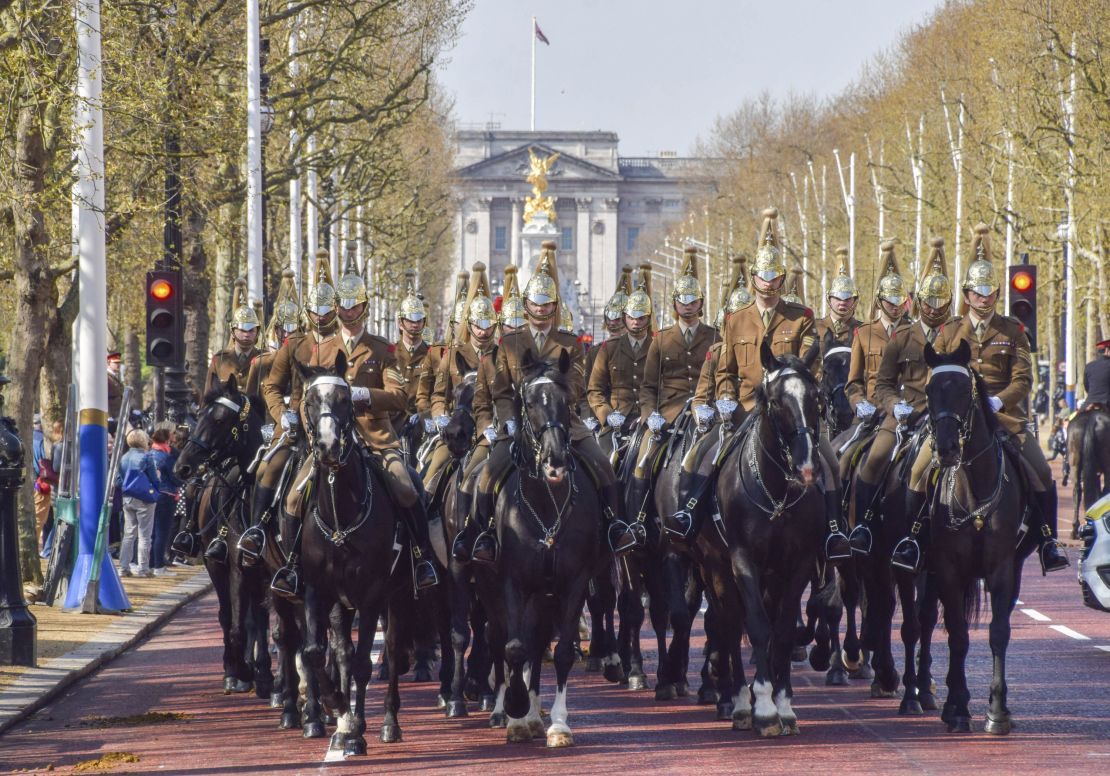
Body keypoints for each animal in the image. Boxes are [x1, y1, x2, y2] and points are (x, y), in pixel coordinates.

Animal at [177, 377, 275, 697]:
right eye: (197, 416)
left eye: (219, 420)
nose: (181, 466)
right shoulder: (236, 568)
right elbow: (235, 625)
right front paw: (241, 671)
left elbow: (258, 621)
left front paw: (264, 675)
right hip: (216, 566)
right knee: (227, 615)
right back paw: (233, 669)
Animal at [495, 350, 603, 746]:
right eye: (528, 403)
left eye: (567, 402)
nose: (555, 462)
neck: (545, 505)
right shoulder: (512, 581)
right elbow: (514, 647)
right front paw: (514, 708)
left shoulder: (574, 583)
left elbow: (562, 654)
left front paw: (558, 724)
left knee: (540, 643)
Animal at [914, 341, 1034, 737]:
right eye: (929, 390)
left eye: (965, 391)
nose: (947, 449)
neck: (975, 487)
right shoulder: (949, 570)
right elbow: (957, 634)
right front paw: (958, 707)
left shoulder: (1002, 570)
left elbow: (998, 632)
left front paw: (997, 711)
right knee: (927, 621)